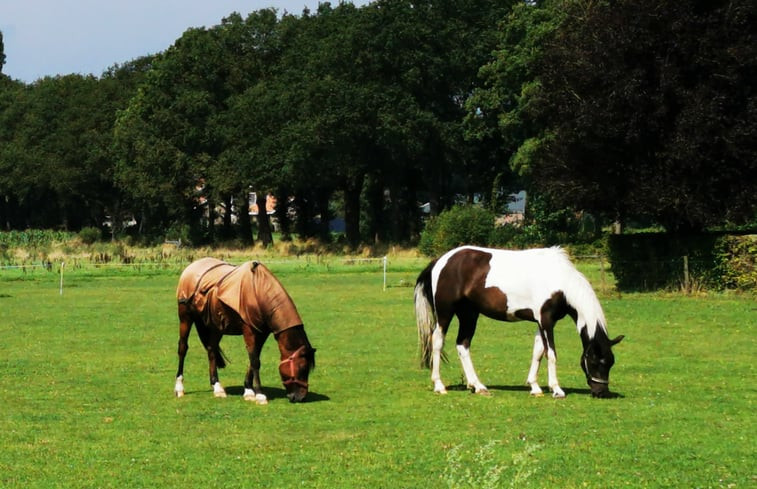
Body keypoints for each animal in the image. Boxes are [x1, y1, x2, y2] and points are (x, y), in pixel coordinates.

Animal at [173, 258, 314, 402]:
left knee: (211, 350)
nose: (300, 397)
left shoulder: (262, 333)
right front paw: (259, 394)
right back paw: (179, 388)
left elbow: (254, 359)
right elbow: (255, 361)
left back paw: (217, 387)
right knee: (183, 348)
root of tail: (191, 267)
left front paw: (248, 390)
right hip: (185, 317)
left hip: (216, 325)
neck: (259, 292)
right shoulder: (249, 331)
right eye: (303, 368)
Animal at [414, 246, 620, 398]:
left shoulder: (541, 322)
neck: (560, 280)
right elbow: (551, 354)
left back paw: (477, 386)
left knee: (462, 345)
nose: (601, 392)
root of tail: (440, 261)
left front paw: (535, 387)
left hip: (469, 314)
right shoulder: (546, 321)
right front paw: (556, 389)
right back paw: (439, 386)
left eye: (610, 363)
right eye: (596, 361)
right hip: (445, 314)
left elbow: (538, 352)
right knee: (437, 341)